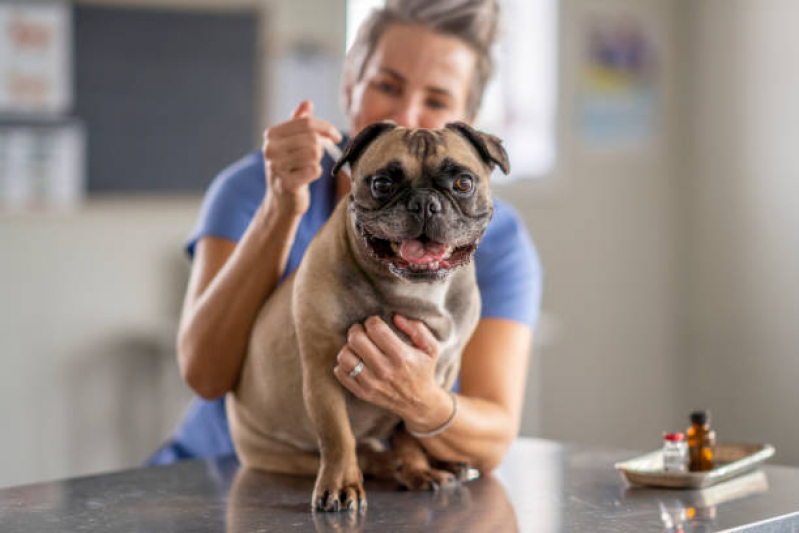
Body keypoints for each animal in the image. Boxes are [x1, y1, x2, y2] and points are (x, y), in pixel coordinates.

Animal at [228, 120, 510, 512]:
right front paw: (340, 485)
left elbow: (411, 431)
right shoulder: (323, 375)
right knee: (362, 453)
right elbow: (337, 436)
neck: (414, 289)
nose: (425, 203)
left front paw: (418, 470)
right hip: (283, 452)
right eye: (382, 184)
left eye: (463, 183)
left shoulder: (430, 382)